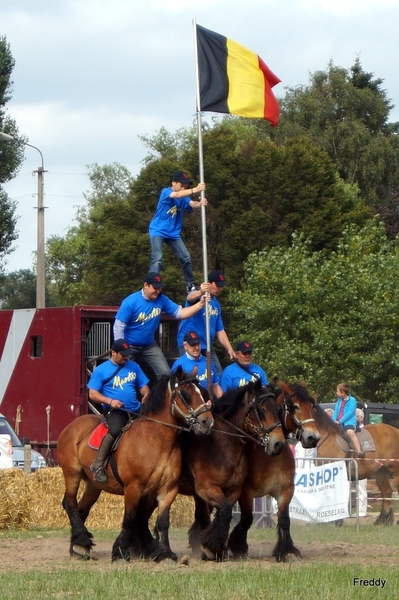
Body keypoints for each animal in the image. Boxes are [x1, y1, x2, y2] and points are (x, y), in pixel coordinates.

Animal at [57, 366, 214, 564]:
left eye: (202, 392)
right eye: (186, 394)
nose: (207, 422)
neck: (155, 440)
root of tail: (72, 425)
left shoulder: (167, 489)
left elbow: (162, 522)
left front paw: (166, 552)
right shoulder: (133, 488)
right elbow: (130, 519)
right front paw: (120, 551)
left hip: (93, 485)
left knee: (81, 509)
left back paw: (79, 547)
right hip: (72, 474)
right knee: (70, 504)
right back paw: (82, 541)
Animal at [227, 382, 320, 560]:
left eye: (312, 406)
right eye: (295, 406)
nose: (313, 438)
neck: (272, 458)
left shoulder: (285, 491)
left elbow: (284, 520)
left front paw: (287, 550)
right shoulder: (246, 493)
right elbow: (246, 519)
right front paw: (238, 547)